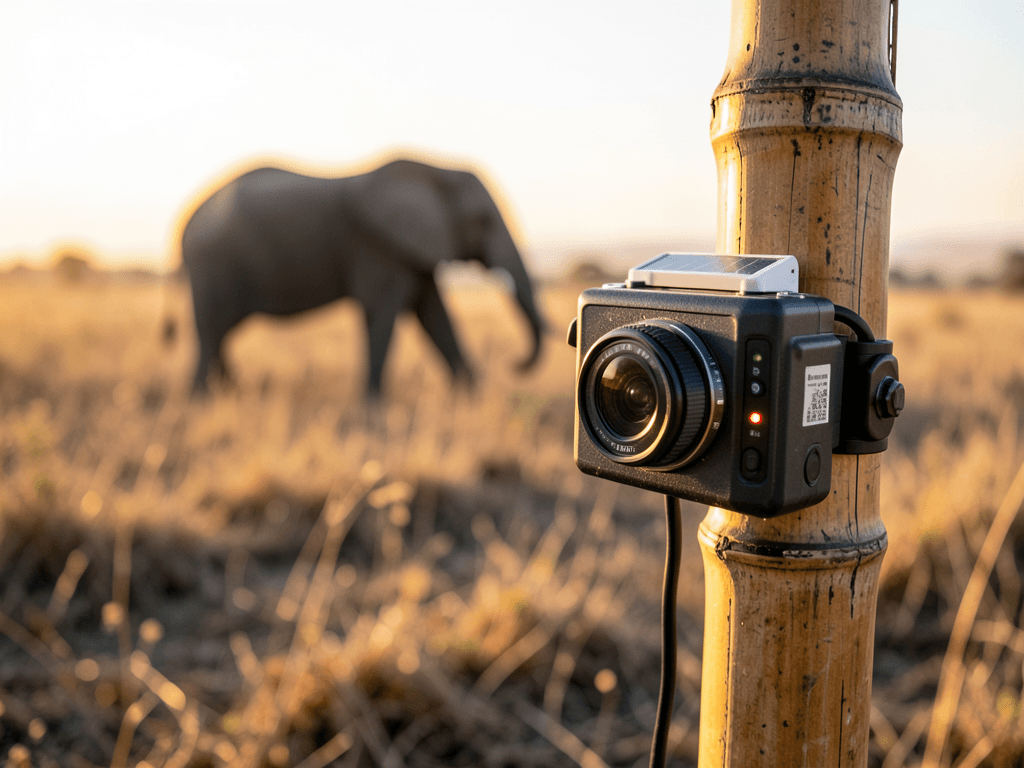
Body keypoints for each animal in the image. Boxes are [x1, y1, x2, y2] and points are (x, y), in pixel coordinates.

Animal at [179, 158, 546, 395]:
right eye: (484, 220)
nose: (514, 364)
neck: (436, 168)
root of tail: (186, 222)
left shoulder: (408, 247)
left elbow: (434, 316)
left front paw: (471, 397)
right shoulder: (376, 248)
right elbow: (382, 313)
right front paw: (372, 405)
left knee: (222, 333)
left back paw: (233, 392)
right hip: (214, 264)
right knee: (210, 331)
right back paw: (201, 399)